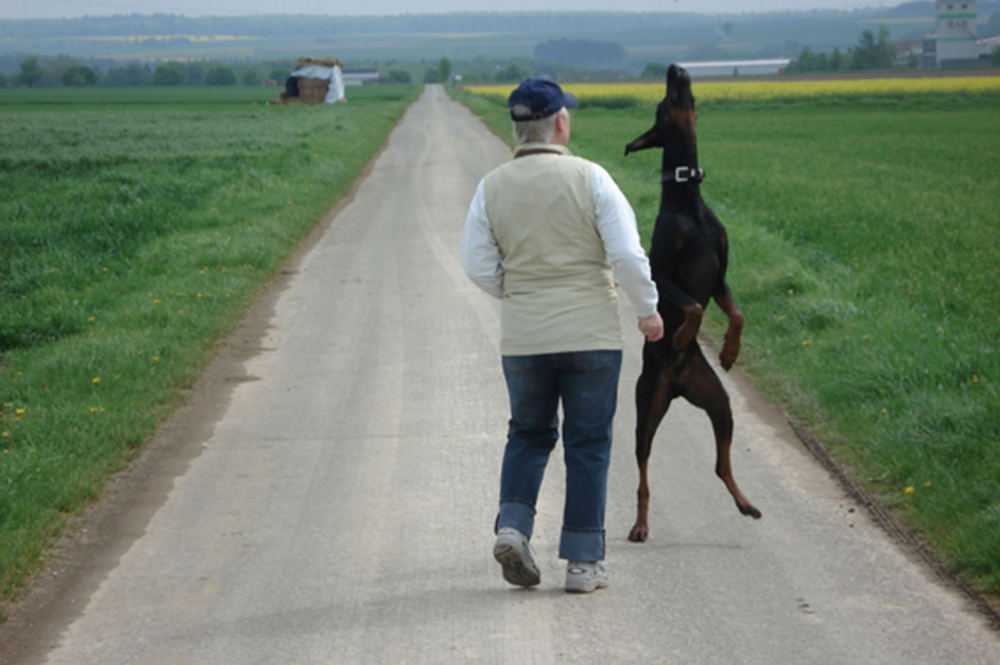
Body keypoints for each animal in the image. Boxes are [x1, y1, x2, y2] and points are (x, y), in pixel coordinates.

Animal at [620, 62, 760, 544]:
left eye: (683, 93)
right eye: (666, 102)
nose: (676, 67)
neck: (689, 203)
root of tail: (679, 385)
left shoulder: (718, 274)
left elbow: (736, 312)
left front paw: (731, 350)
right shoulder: (662, 275)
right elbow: (693, 307)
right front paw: (680, 334)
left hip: (719, 402)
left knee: (720, 464)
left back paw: (745, 502)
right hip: (647, 408)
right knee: (642, 471)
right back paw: (640, 524)